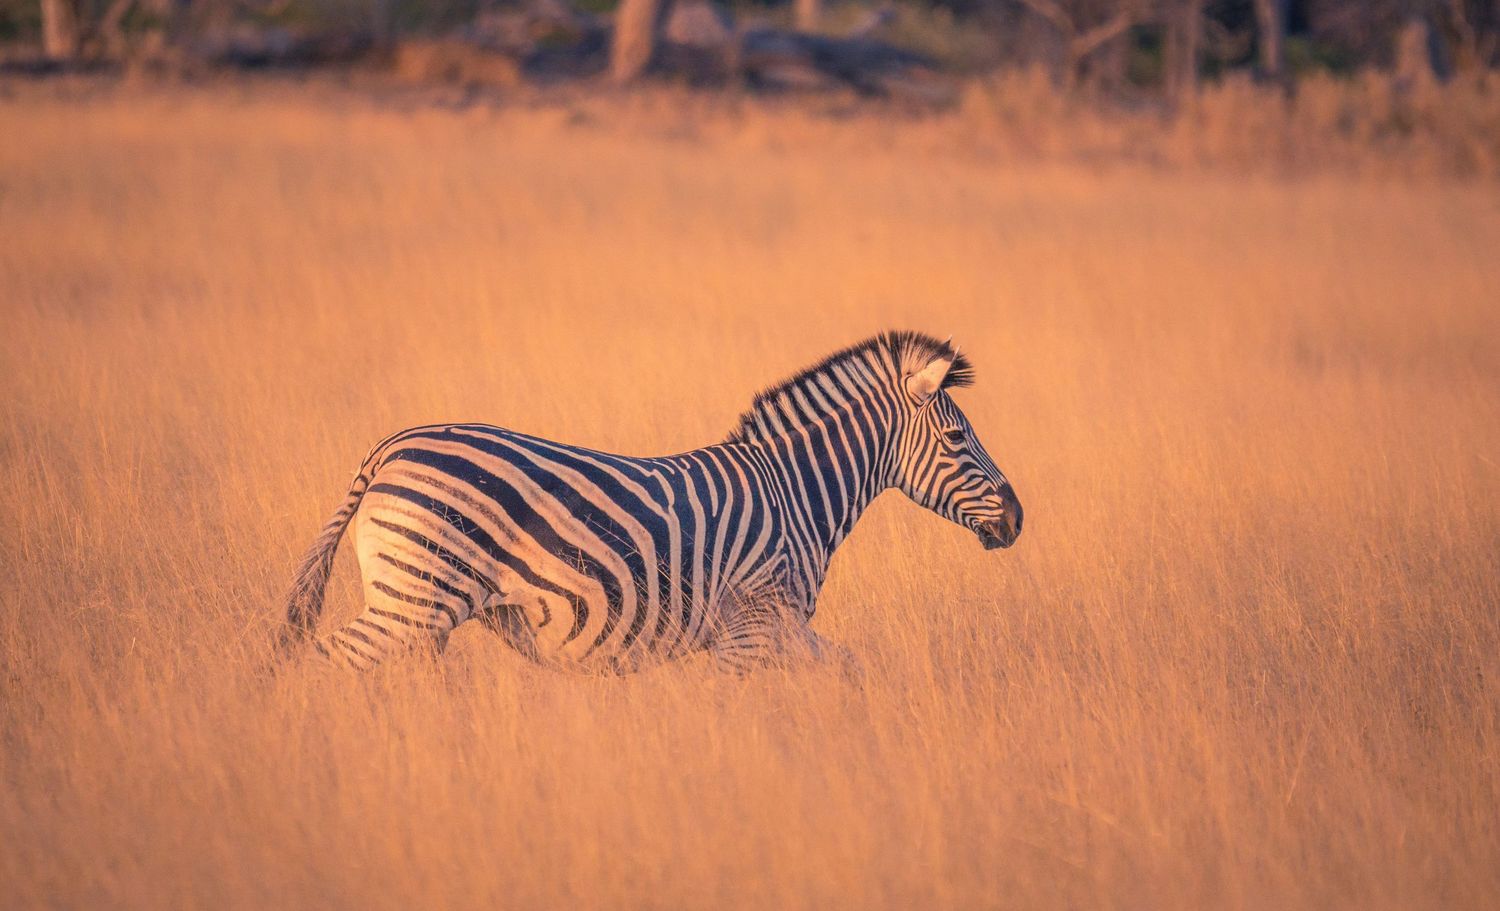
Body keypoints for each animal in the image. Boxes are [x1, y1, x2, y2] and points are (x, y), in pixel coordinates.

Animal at [278, 331, 1022, 674]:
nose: (1018, 519)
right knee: (328, 660)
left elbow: (851, 671)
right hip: (415, 597)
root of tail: (389, 448)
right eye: (957, 437)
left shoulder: (781, 630)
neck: (795, 493)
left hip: (417, 605)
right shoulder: (752, 628)